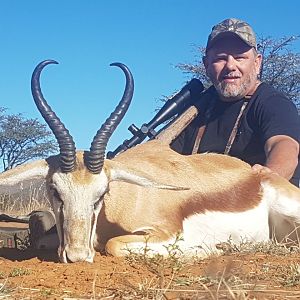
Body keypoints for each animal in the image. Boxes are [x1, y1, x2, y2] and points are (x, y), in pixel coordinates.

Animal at [0, 60, 300, 262]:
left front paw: (206, 249)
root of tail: (257, 176)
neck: (129, 199)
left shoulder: (164, 231)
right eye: (55, 191)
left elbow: (113, 245)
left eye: (102, 194)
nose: (77, 256)